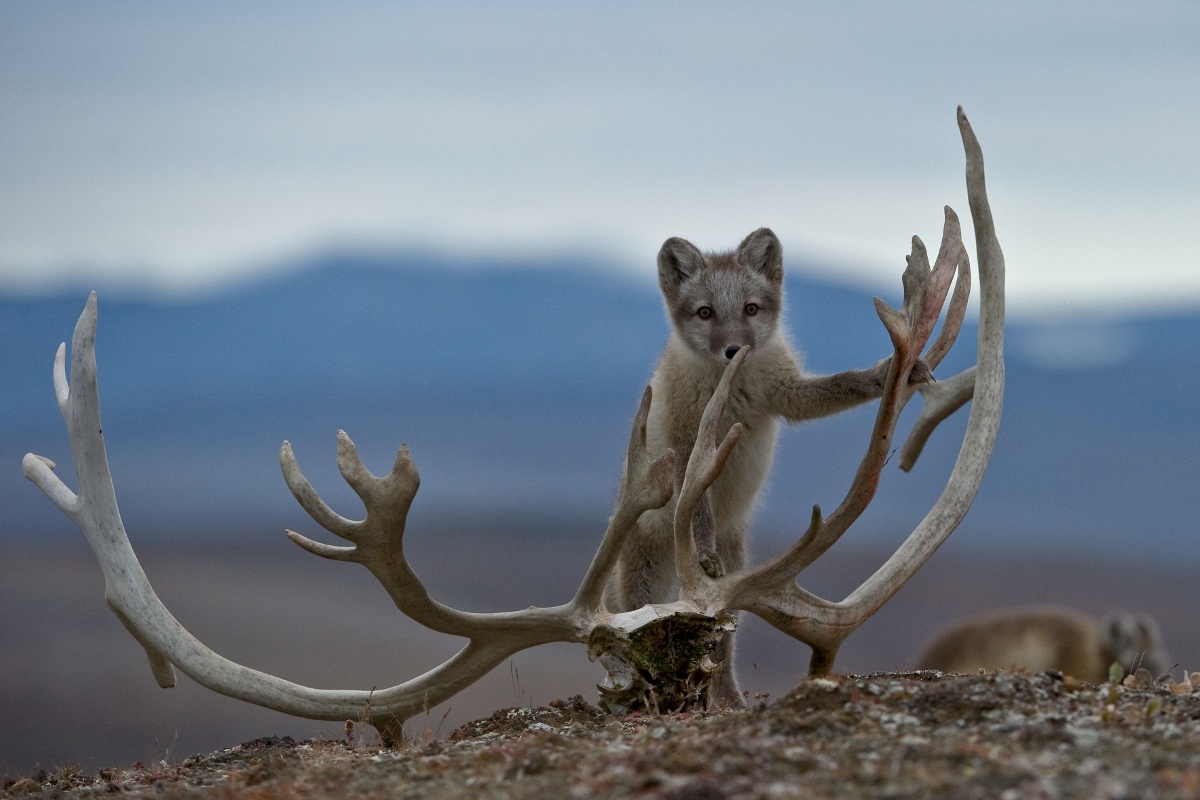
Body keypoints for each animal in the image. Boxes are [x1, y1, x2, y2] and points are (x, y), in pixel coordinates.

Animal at [609, 225, 907, 700]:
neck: (732, 390)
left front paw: (887, 373)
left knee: (723, 640)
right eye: (705, 312)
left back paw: (729, 697)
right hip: (645, 572)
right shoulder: (686, 442)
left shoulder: (786, 391)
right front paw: (705, 553)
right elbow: (699, 511)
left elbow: (839, 385)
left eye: (750, 308)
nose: (734, 349)